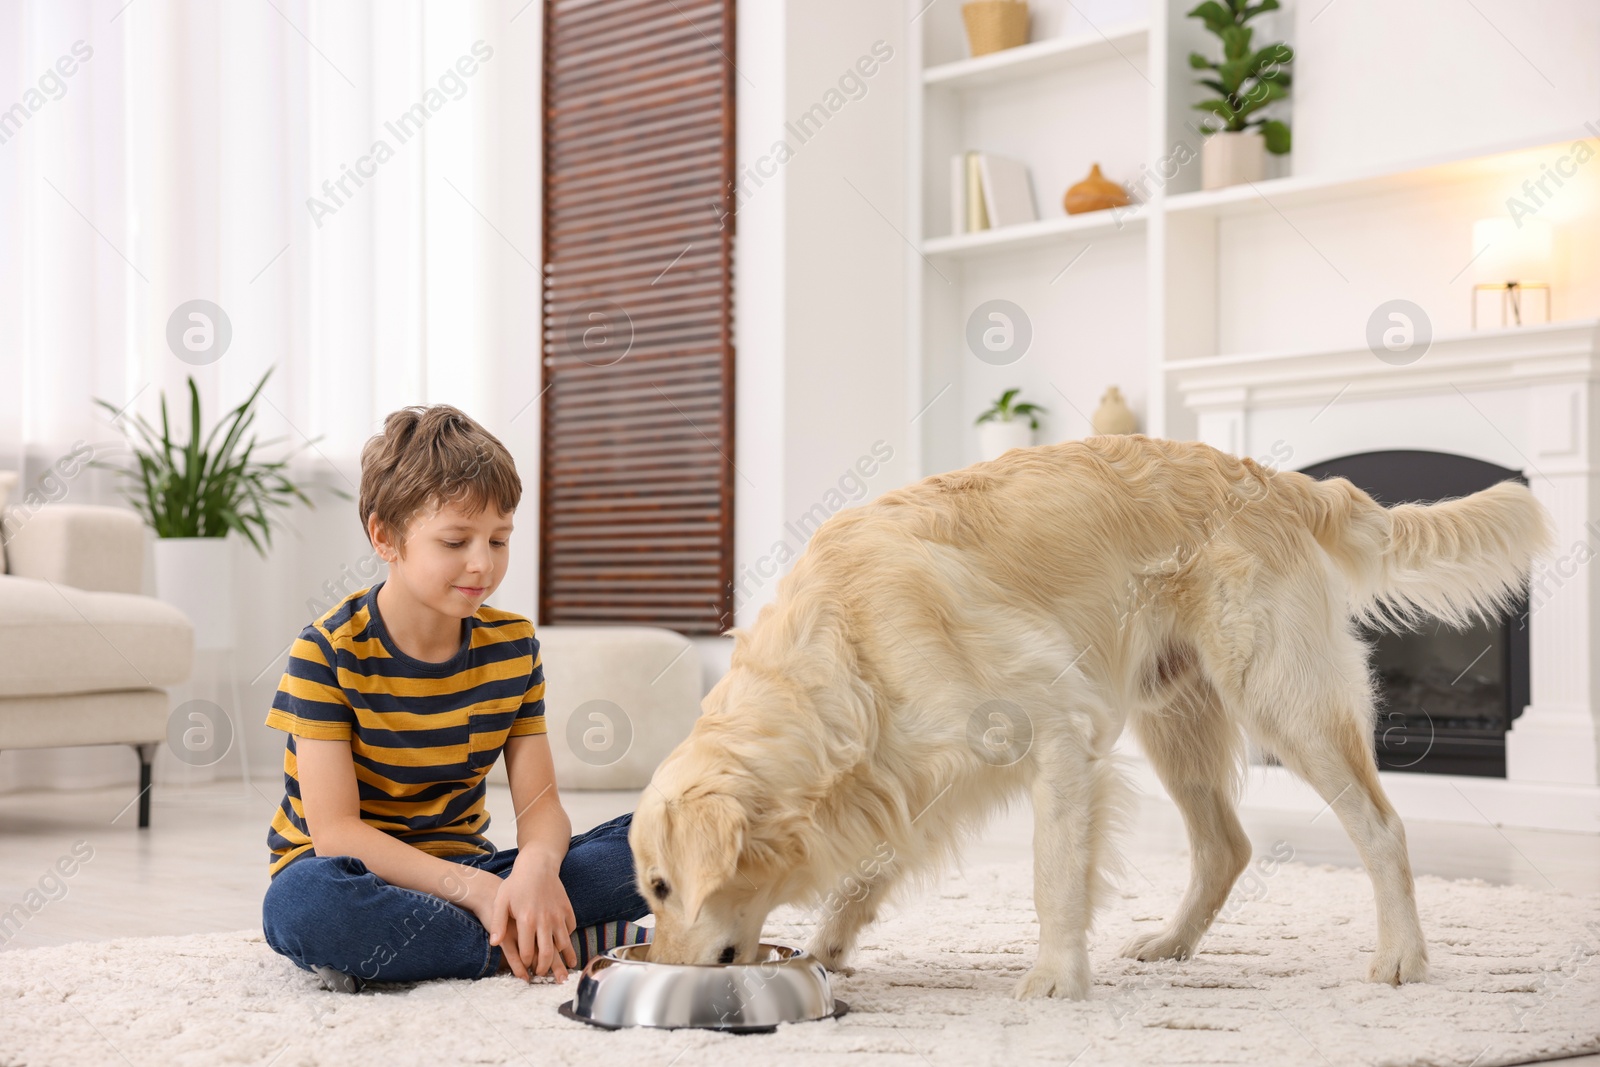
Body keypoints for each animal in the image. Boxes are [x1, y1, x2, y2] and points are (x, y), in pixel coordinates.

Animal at [627, 435, 1548, 1004]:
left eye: (664, 887)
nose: (658, 965)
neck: (848, 643)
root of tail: (1280, 479)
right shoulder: (911, 775)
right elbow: (867, 869)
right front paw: (828, 944)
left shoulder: (1058, 732)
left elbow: (1053, 877)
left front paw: (1055, 979)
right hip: (1178, 717)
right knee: (1227, 845)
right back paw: (1171, 942)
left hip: (1284, 700)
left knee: (1381, 826)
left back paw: (1401, 957)